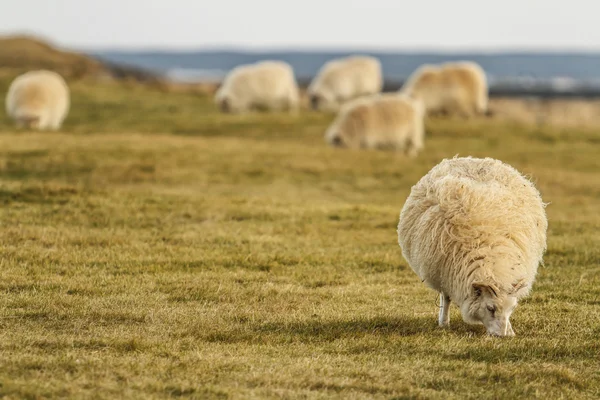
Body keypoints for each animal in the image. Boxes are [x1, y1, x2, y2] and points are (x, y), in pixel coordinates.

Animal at [398, 157, 548, 338]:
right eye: (490, 308)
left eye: (512, 308)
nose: (503, 336)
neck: (490, 254)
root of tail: (469, 159)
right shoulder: (446, 273)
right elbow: (446, 298)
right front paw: (444, 323)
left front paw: (510, 329)